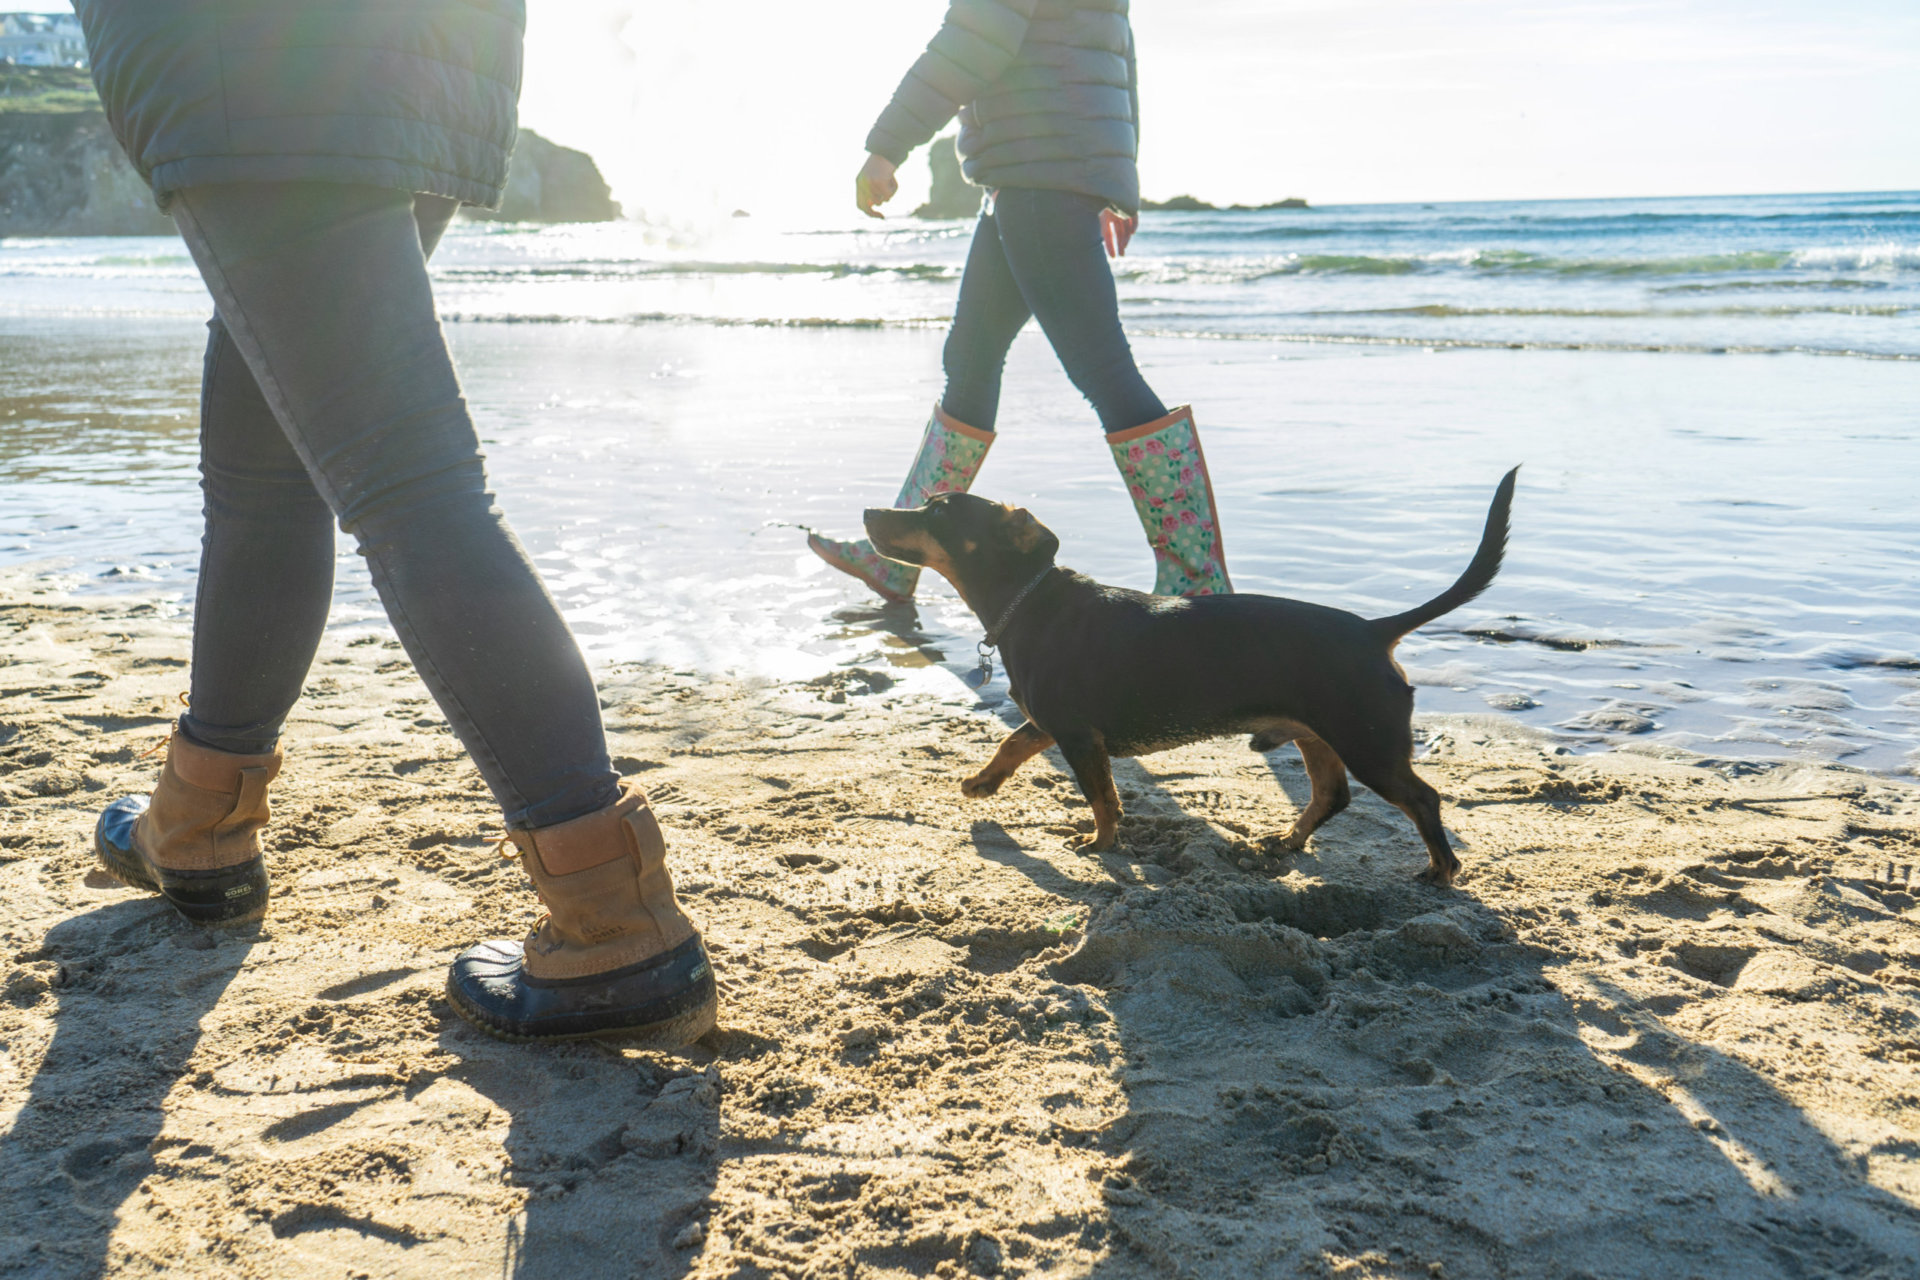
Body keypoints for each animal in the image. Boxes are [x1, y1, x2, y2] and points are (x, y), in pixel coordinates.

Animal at [867, 474, 1512, 890]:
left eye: (938, 512)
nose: (869, 513)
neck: (1030, 601)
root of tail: (1375, 631)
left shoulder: (1077, 735)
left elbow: (1102, 799)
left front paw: (1100, 848)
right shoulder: (1054, 724)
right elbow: (1013, 741)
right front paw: (982, 783)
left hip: (1368, 742)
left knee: (1422, 799)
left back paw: (1441, 870)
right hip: (1319, 736)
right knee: (1333, 795)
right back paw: (1287, 840)